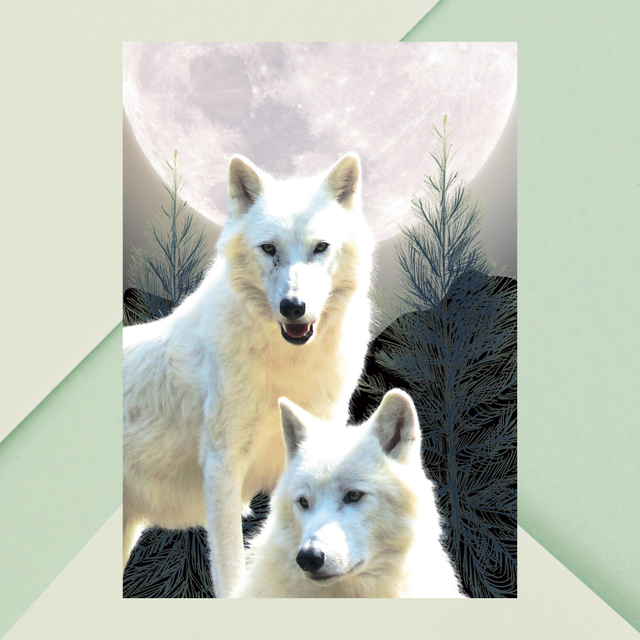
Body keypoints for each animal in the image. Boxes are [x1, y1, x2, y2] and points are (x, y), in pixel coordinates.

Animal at [123, 151, 375, 598]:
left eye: (320, 247)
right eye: (269, 248)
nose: (293, 307)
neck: (288, 368)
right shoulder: (223, 467)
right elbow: (231, 572)